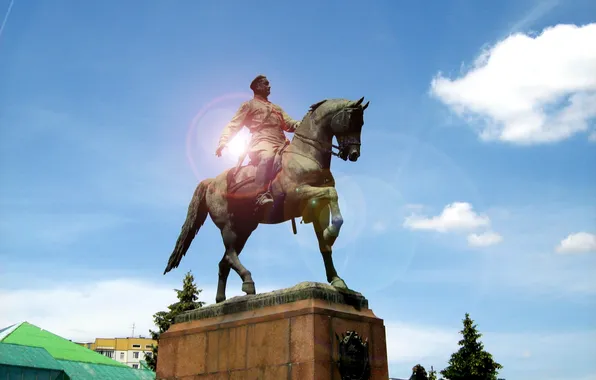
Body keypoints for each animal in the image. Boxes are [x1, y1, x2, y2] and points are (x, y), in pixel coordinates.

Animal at [163, 95, 368, 302]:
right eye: (351, 120)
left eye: (362, 123)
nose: (354, 154)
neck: (306, 156)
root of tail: (212, 181)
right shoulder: (298, 193)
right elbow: (331, 193)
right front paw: (331, 233)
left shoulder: (318, 208)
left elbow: (324, 244)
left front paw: (336, 278)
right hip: (229, 226)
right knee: (229, 255)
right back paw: (248, 281)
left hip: (245, 229)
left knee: (224, 261)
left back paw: (221, 299)